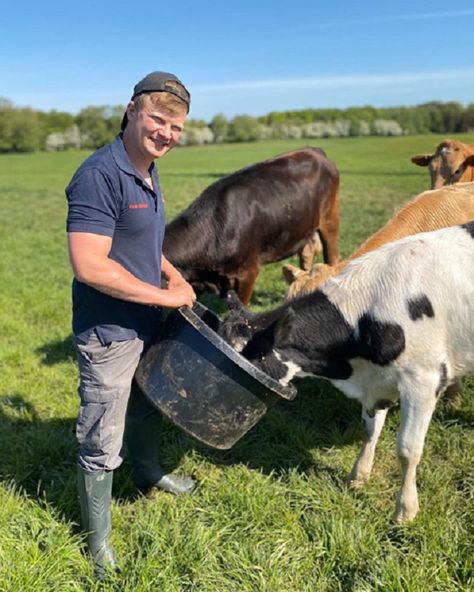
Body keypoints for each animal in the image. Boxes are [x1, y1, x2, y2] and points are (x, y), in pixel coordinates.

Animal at [163, 147, 340, 306]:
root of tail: (314, 151)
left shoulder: (248, 273)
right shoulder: (194, 284)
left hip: (329, 218)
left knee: (332, 256)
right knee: (307, 252)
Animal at [219, 223, 474, 524]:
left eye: (251, 356)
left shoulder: (423, 379)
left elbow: (408, 449)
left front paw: (406, 509)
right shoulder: (378, 383)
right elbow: (369, 430)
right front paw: (358, 476)